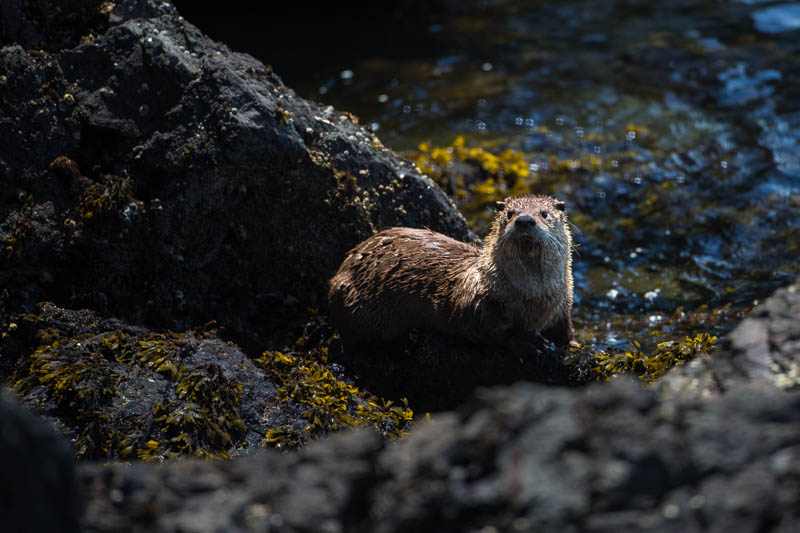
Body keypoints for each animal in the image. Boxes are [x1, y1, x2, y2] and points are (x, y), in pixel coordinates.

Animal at [326, 195, 576, 354]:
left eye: (544, 213)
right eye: (509, 213)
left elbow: (564, 327)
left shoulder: (563, 301)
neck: (531, 297)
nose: (524, 220)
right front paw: (526, 342)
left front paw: (572, 342)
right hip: (351, 300)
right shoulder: (474, 300)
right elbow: (490, 328)